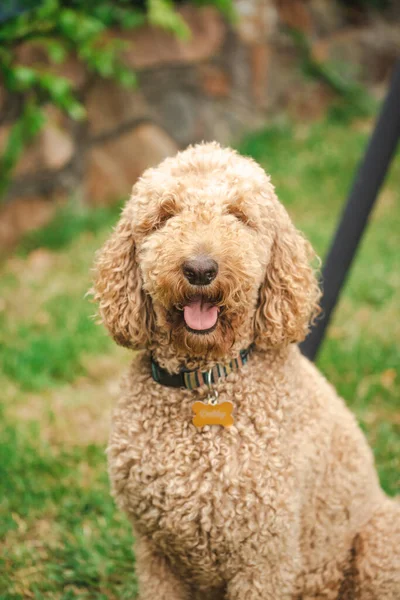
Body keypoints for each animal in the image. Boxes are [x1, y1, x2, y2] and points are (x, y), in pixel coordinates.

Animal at [93, 143, 400, 596]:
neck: (204, 378)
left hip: (381, 539)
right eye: (165, 215)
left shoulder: (264, 559)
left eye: (238, 215)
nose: (200, 269)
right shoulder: (155, 555)